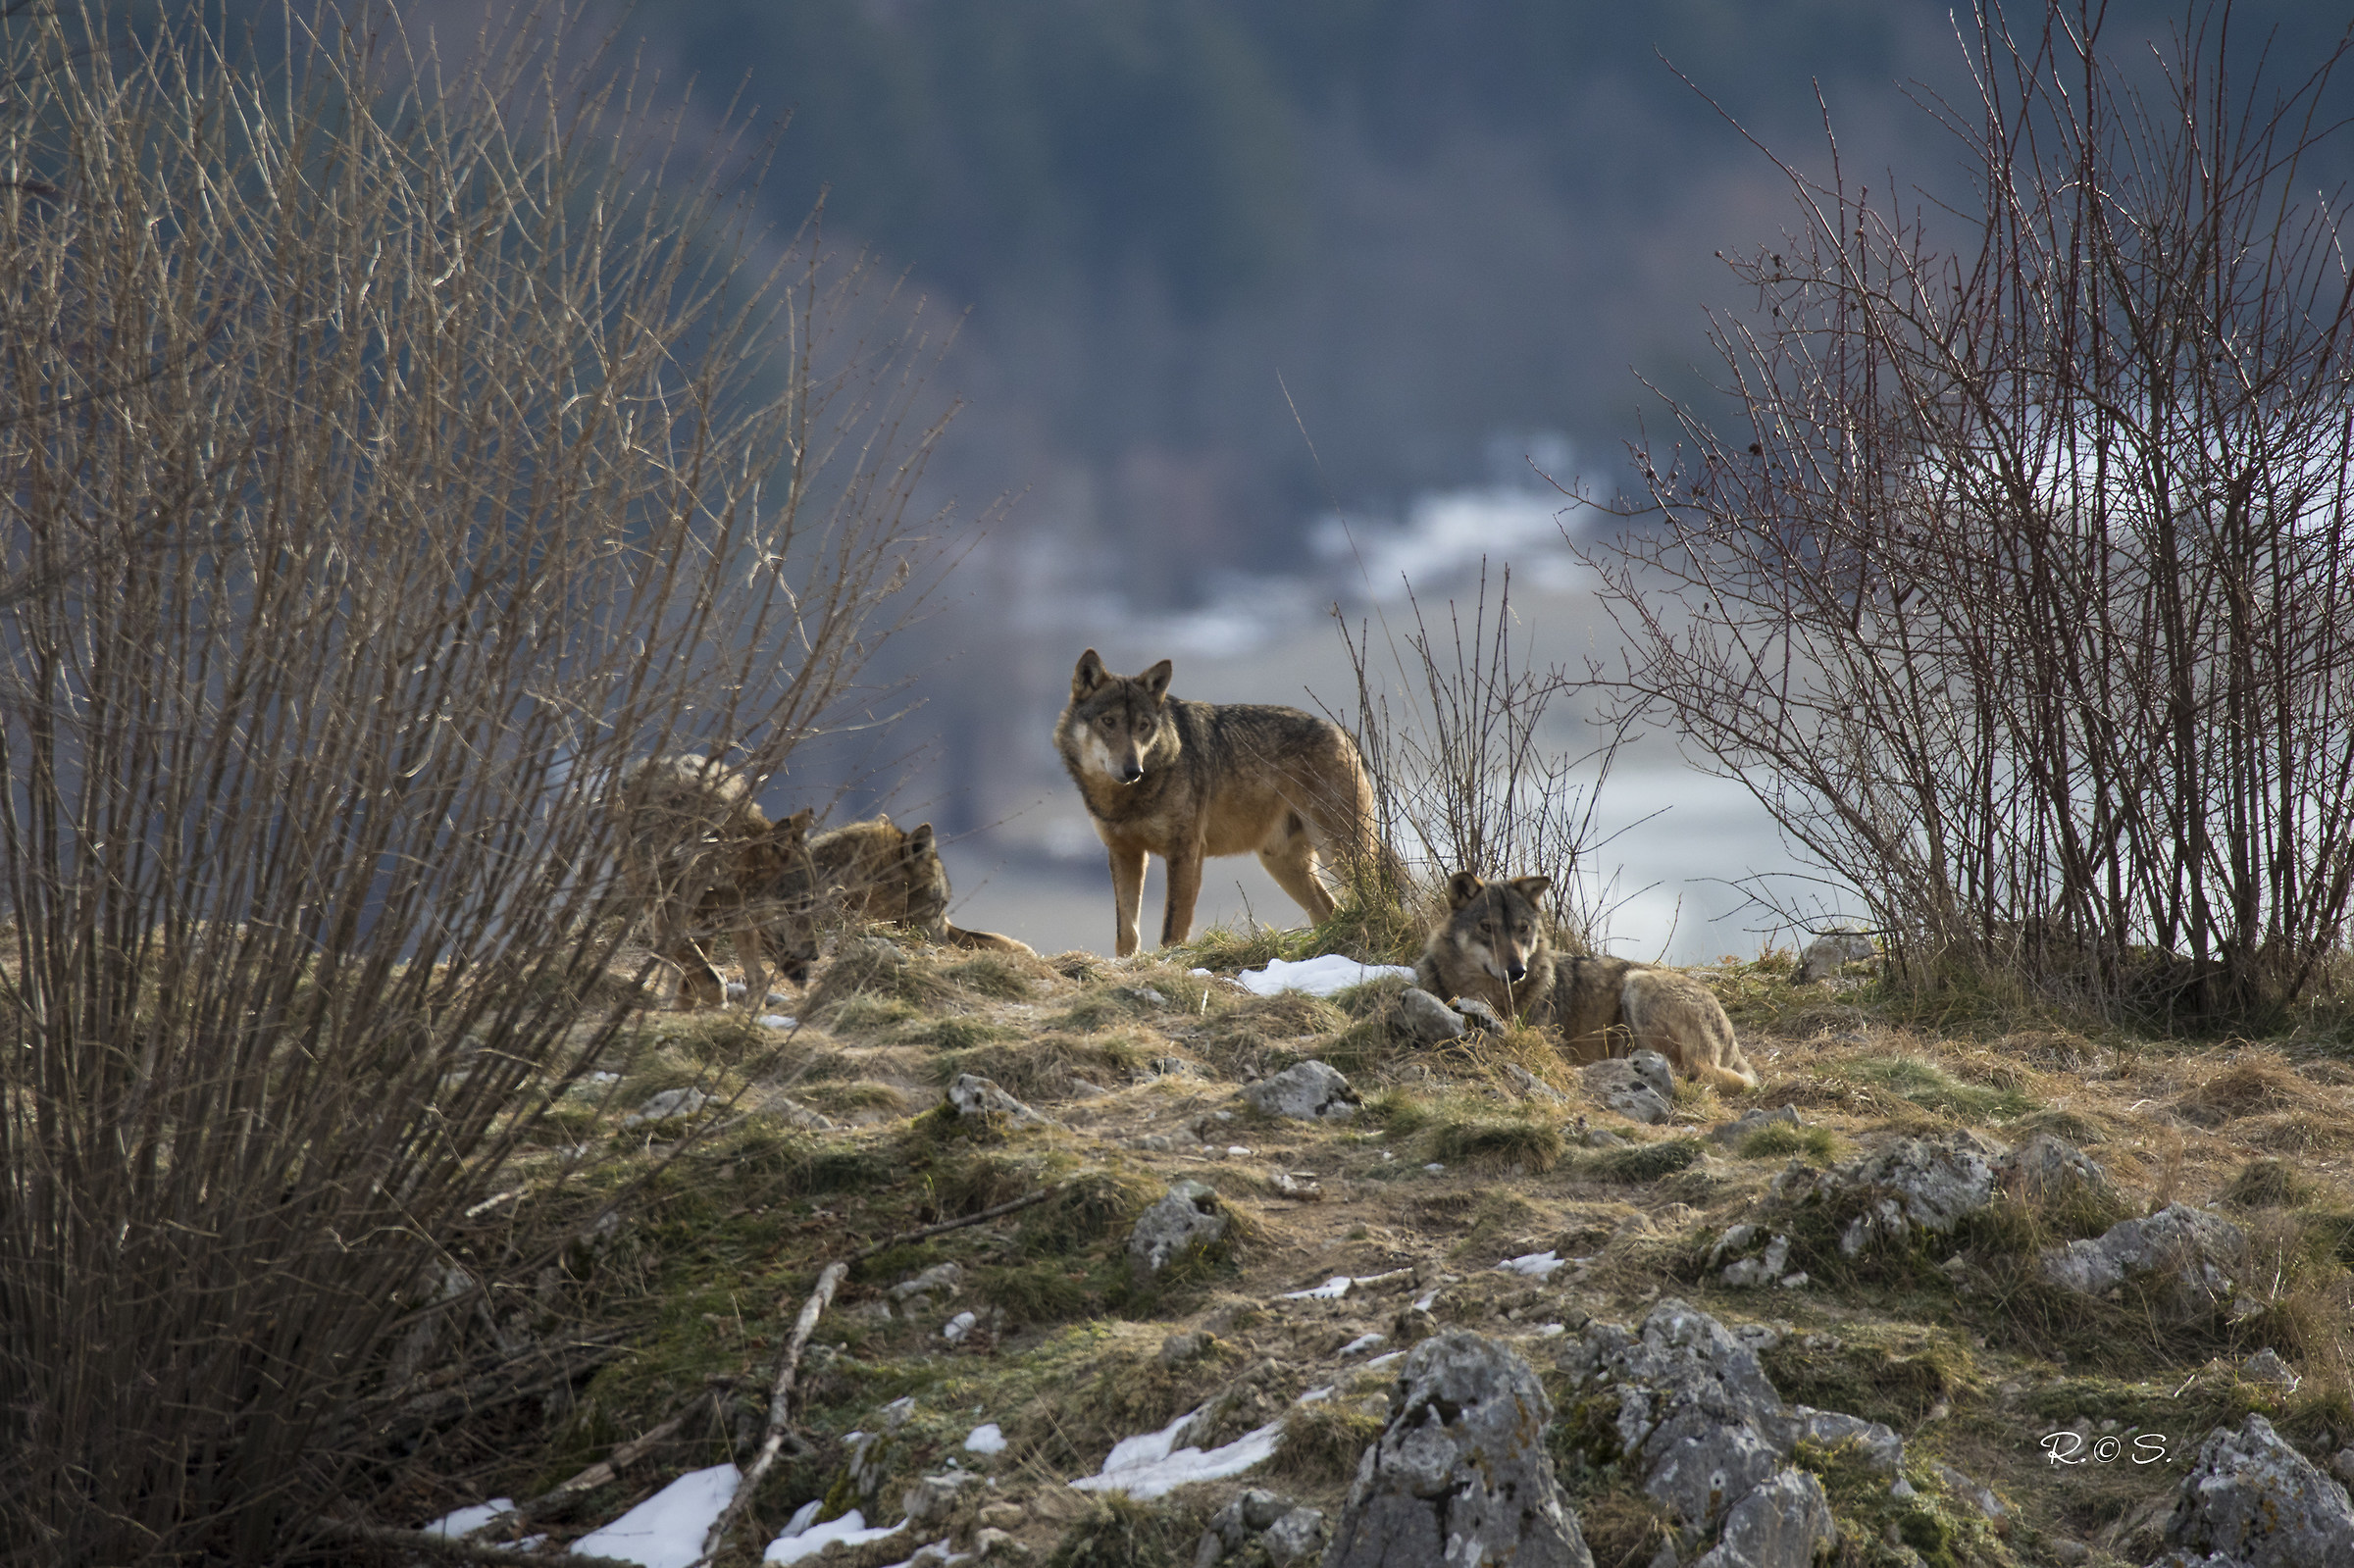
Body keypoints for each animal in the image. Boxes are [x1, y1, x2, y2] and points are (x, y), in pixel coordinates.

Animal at [1054, 649, 1395, 957]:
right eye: (1108, 721)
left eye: (1143, 726)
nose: (1132, 770)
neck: (1125, 798)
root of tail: (1344, 734)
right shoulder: (1124, 852)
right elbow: (1126, 932)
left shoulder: (1186, 852)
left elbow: (1172, 927)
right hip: (1285, 864)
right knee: (1329, 911)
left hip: (1340, 852)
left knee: (1375, 895)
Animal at [1417, 870, 1760, 1093]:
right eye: (1486, 927)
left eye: (1522, 928)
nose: (1517, 970)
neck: (1491, 995)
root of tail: (1732, 1042)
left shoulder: (1551, 1045)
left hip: (1638, 985)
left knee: (1697, 1071)